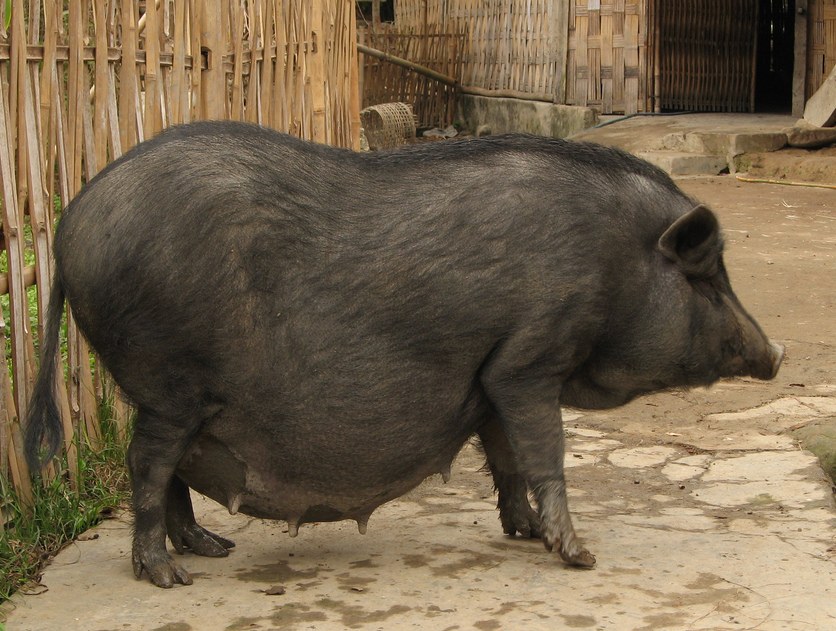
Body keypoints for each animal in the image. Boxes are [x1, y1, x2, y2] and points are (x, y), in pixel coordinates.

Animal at [25, 122, 783, 587]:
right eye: (706, 275)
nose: (776, 352)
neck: (615, 259)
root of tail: (71, 220)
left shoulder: (492, 372)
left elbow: (506, 456)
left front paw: (523, 534)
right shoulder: (532, 355)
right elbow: (546, 452)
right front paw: (581, 556)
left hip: (165, 393)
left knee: (168, 468)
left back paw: (213, 548)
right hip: (169, 381)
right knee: (148, 466)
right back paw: (169, 575)